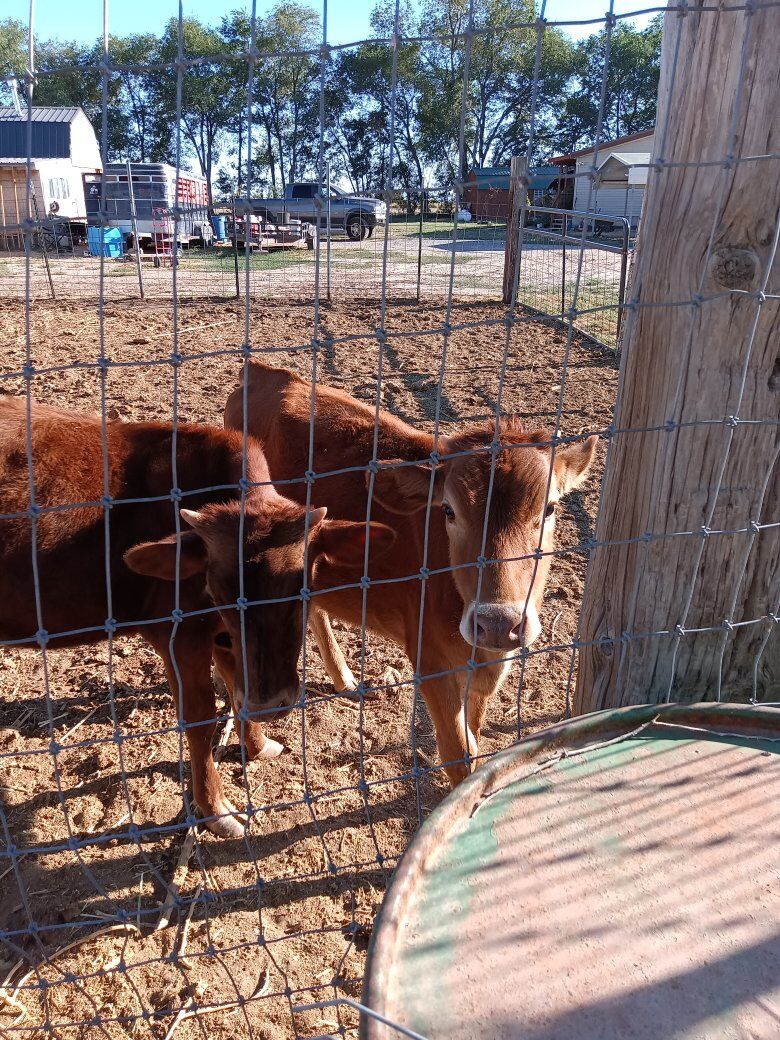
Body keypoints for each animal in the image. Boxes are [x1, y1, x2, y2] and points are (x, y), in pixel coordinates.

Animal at [0, 398, 393, 837]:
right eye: (217, 590)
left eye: (303, 584)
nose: (269, 704)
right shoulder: (177, 635)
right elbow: (199, 718)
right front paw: (217, 810)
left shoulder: (223, 637)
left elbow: (236, 687)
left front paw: (258, 745)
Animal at [224, 363, 597, 788]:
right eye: (449, 511)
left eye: (550, 508)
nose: (498, 623)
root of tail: (266, 372)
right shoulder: (430, 657)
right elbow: (460, 754)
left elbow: (475, 731)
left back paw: (345, 681)